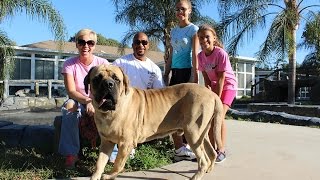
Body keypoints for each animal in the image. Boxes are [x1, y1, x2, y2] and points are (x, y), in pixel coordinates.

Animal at [85, 64, 225, 180]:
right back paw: (208, 170)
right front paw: (95, 176)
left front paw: (109, 175)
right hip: (201, 133)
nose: (108, 84)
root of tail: (212, 94)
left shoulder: (125, 143)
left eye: (116, 79)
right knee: (211, 153)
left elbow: (118, 164)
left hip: (193, 133)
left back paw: (196, 176)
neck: (109, 112)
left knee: (203, 160)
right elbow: (100, 163)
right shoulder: (106, 142)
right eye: (97, 79)